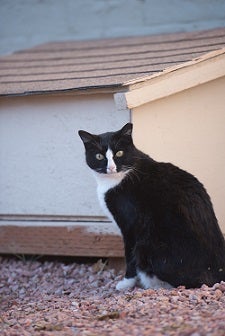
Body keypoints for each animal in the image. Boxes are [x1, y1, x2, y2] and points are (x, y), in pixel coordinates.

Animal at [78, 122, 225, 290]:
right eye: (99, 156)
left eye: (119, 153)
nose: (111, 168)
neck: (116, 180)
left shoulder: (130, 225)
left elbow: (129, 255)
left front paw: (126, 283)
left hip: (148, 244)